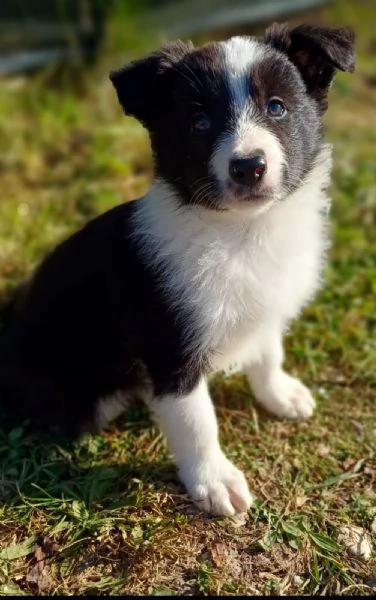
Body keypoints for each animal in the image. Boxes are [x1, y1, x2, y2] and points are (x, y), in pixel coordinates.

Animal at [0, 23, 354, 516]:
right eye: (199, 123)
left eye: (277, 107)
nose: (249, 167)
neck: (241, 234)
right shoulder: (170, 349)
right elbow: (196, 420)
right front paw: (213, 480)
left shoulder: (264, 304)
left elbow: (268, 352)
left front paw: (279, 393)